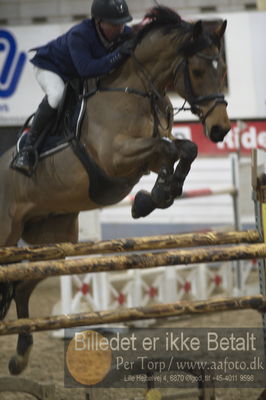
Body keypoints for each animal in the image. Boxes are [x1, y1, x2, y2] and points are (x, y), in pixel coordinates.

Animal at [0, 6, 230, 376]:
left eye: (222, 69)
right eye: (196, 70)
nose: (221, 129)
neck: (136, 89)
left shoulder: (145, 155)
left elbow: (183, 148)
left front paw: (154, 197)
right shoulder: (117, 157)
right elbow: (170, 147)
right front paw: (156, 195)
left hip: (50, 243)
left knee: (22, 287)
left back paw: (20, 358)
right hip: (7, 236)